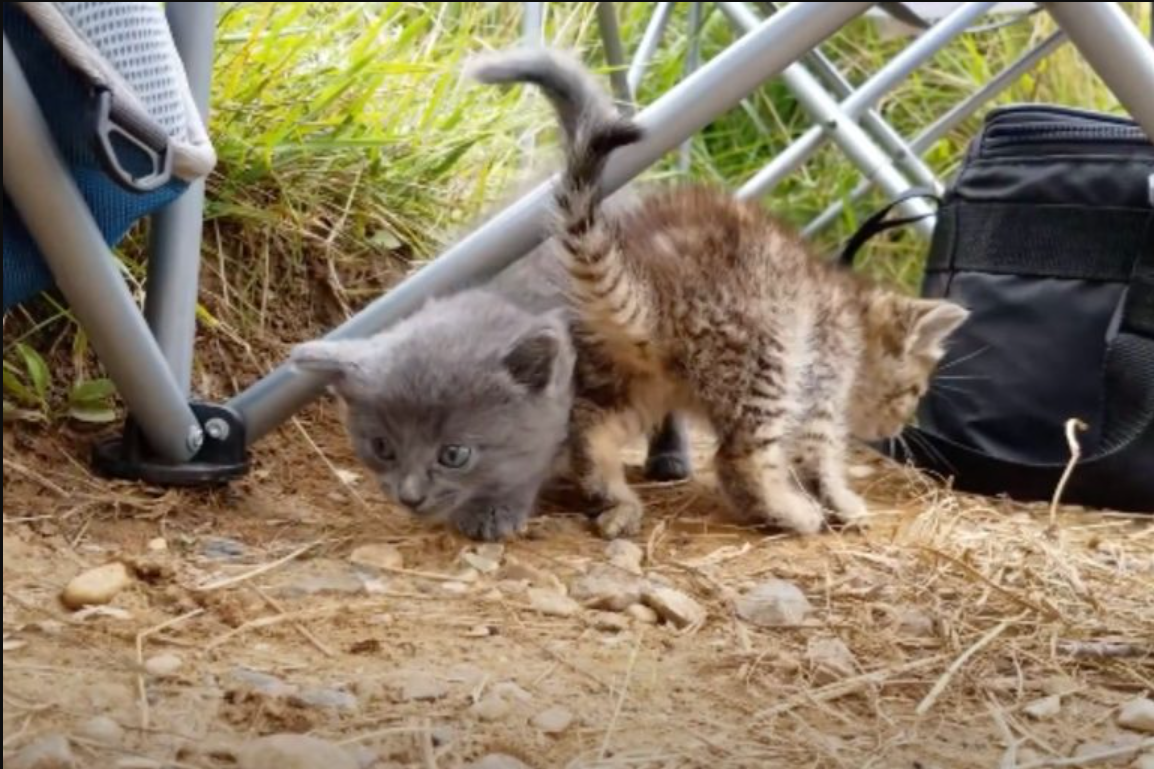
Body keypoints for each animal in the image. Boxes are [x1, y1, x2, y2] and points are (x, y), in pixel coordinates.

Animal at [473, 50, 969, 535]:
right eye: (915, 390)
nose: (902, 424)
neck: (852, 310)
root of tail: (653, 289)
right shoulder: (821, 379)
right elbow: (818, 454)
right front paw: (842, 502)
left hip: (633, 375)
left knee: (590, 429)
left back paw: (614, 499)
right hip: (766, 351)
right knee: (740, 459)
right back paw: (787, 512)